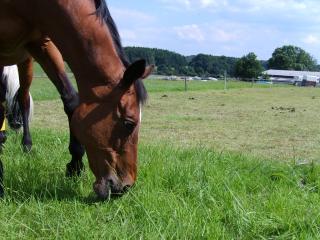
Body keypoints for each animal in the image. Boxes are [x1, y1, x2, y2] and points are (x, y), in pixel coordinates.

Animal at [0, 0, 153, 199]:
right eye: (129, 123)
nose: (126, 186)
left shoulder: (44, 44)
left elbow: (71, 99)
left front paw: (75, 165)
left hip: (26, 60)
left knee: (23, 98)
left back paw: (26, 145)